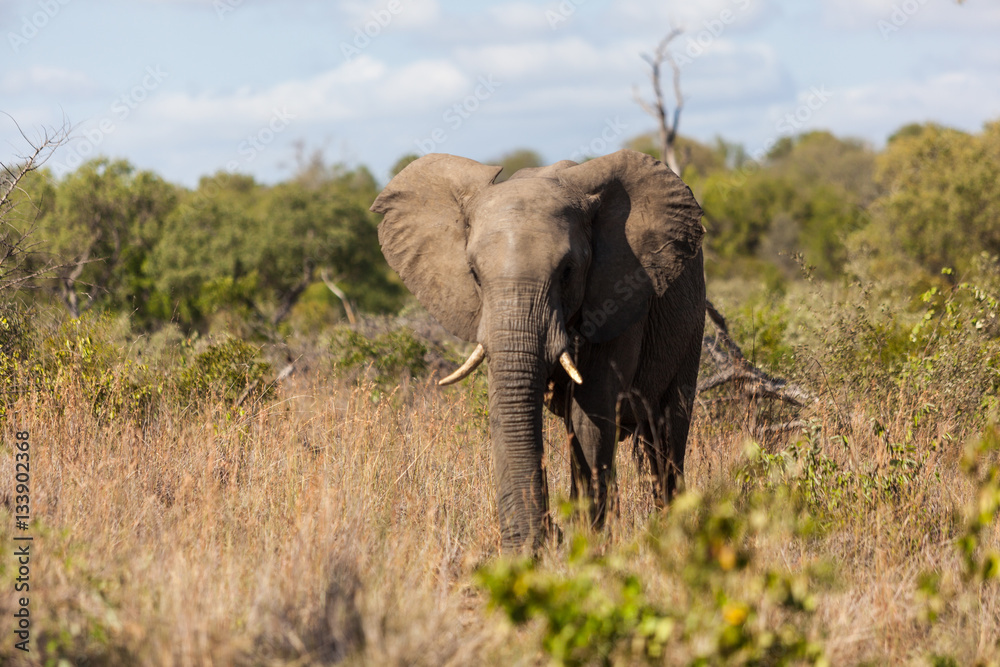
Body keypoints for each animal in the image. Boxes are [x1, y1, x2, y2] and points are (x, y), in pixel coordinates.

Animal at [371, 149, 705, 552]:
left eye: (567, 272)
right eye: (474, 274)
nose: (549, 533)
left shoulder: (618, 295)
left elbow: (591, 413)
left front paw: (586, 545)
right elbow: (508, 410)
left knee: (666, 435)